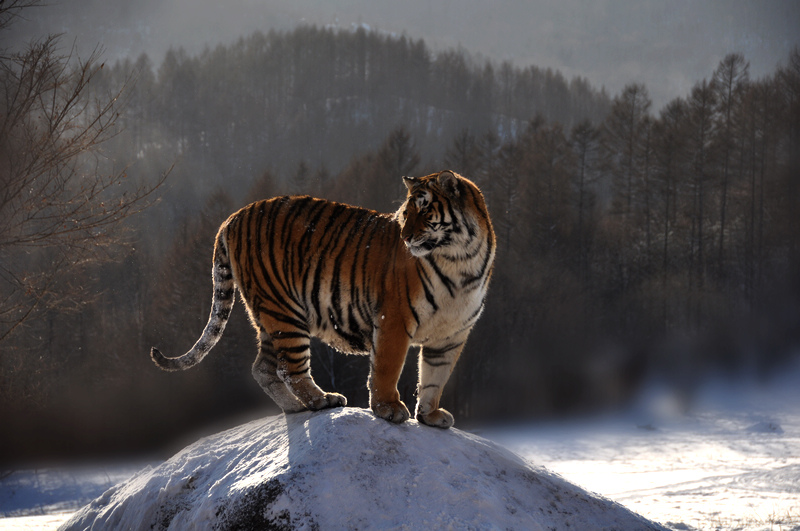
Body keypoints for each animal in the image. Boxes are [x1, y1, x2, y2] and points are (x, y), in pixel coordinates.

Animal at [150, 170, 494, 428]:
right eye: (405, 214)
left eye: (425, 211)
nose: (406, 237)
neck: (461, 262)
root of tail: (232, 217)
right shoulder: (394, 320)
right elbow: (386, 368)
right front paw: (388, 408)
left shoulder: (451, 335)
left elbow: (436, 378)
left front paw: (431, 415)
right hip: (285, 311)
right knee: (290, 369)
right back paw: (322, 400)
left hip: (267, 317)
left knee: (263, 368)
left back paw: (297, 408)